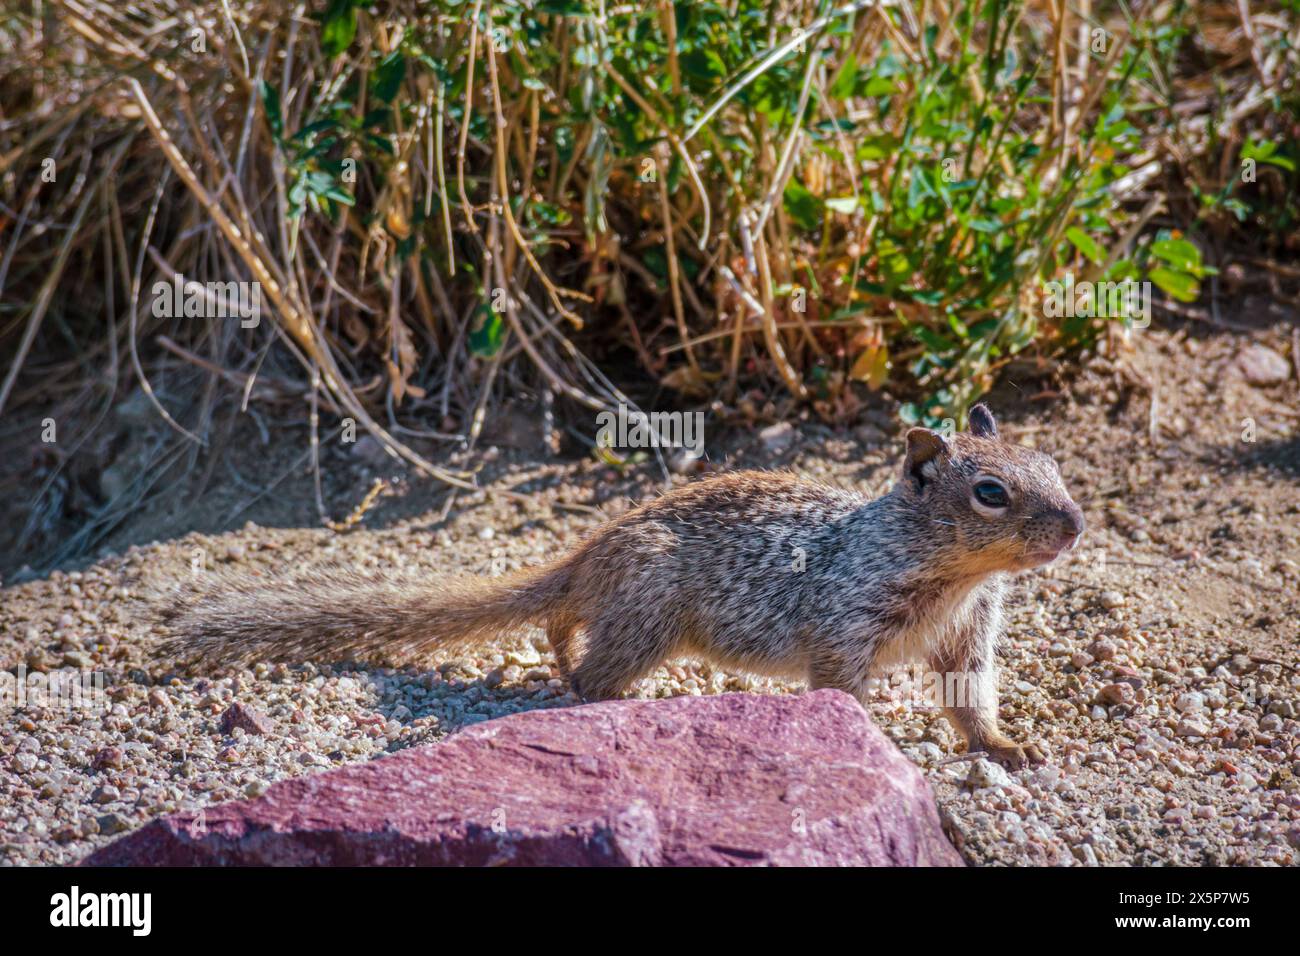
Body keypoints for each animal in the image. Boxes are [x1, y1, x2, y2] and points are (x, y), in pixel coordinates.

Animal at [161, 403, 1083, 769]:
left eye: (1053, 463)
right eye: (990, 492)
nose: (1074, 525)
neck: (957, 577)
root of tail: (589, 551)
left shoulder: (971, 637)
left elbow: (971, 701)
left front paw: (1007, 745)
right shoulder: (848, 626)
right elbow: (844, 696)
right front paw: (875, 746)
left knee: (562, 631)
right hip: (649, 621)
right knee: (588, 674)